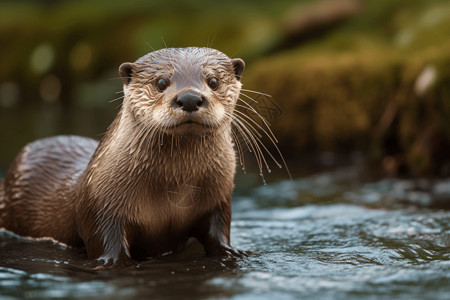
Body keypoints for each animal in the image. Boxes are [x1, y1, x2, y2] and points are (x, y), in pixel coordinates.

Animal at [0, 47, 248, 268]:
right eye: (161, 82)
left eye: (213, 81)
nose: (189, 98)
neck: (175, 189)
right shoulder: (101, 209)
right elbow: (106, 241)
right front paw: (114, 262)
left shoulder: (217, 201)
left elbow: (218, 232)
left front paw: (231, 252)